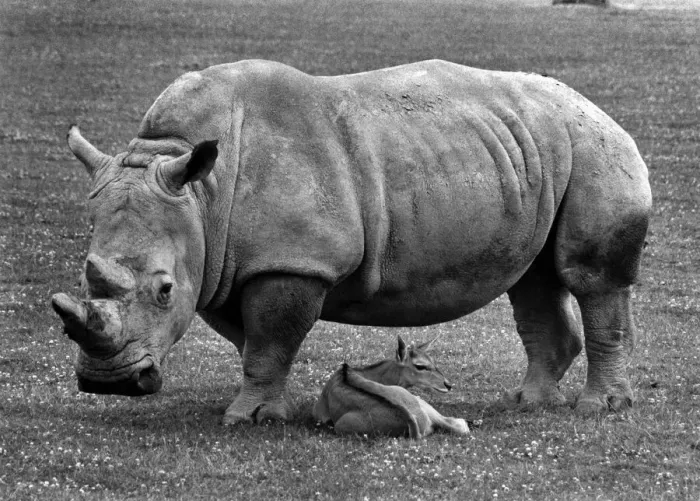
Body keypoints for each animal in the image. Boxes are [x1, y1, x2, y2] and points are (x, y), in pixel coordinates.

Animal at [51, 59, 651, 425]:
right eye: (83, 274)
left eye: (164, 291)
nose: (110, 384)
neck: (201, 193)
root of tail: (598, 108)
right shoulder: (225, 262)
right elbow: (253, 341)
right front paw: (272, 409)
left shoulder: (293, 262)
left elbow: (269, 340)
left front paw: (248, 419)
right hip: (534, 151)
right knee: (534, 278)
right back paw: (530, 403)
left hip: (595, 148)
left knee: (589, 278)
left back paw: (599, 408)